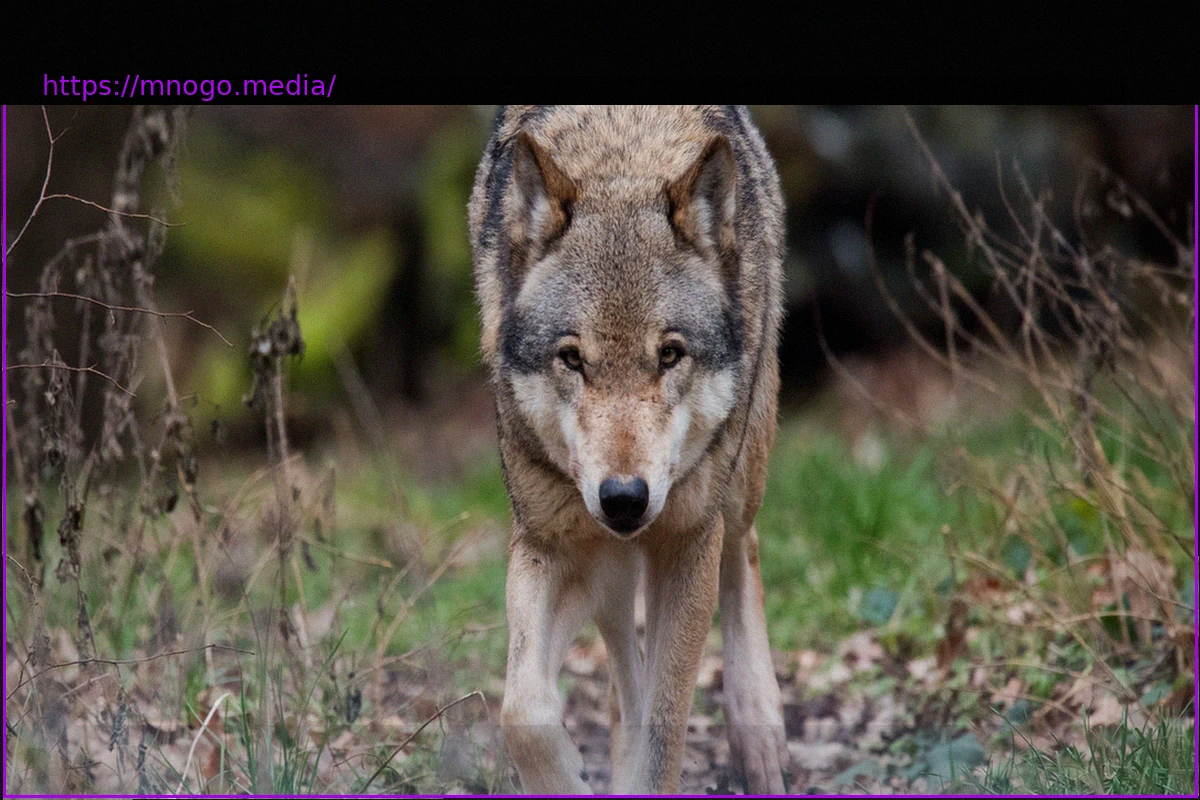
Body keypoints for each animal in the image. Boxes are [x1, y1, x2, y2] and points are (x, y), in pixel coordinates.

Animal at [468, 106, 787, 794]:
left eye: (669, 354)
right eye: (572, 358)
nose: (623, 499)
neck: (622, 157)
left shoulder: (687, 542)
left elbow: (665, 730)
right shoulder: (551, 542)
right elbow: (521, 708)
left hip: (738, 478)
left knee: (744, 548)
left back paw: (759, 733)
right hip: (607, 567)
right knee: (622, 668)